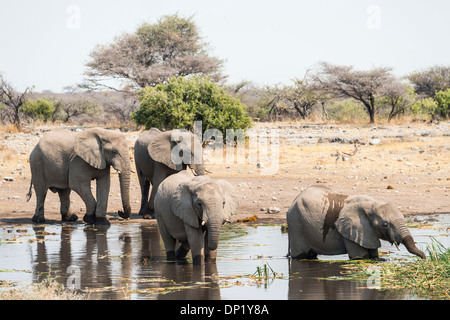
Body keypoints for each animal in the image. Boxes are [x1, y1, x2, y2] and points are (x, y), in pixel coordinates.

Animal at [288, 185, 426, 260]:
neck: (372, 203)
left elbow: (373, 255)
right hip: (296, 224)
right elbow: (360, 257)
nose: (425, 259)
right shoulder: (350, 230)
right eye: (385, 224)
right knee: (301, 255)